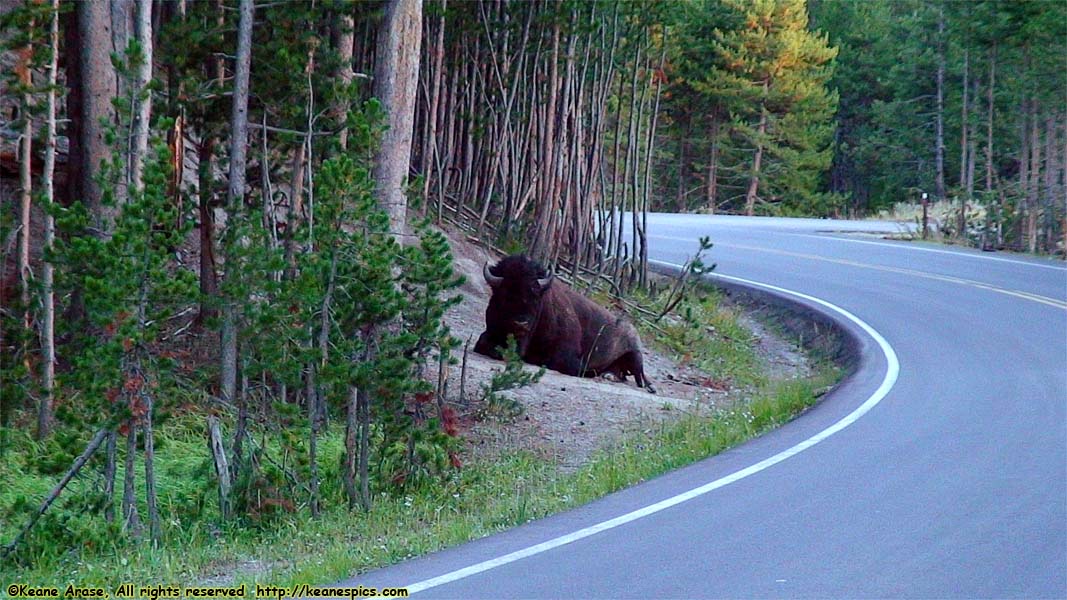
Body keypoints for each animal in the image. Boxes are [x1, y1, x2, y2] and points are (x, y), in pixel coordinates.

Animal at [478, 251, 657, 392]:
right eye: (505, 295)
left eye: (535, 297)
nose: (521, 324)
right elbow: (482, 343)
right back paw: (608, 375)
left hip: (635, 356)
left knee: (640, 378)